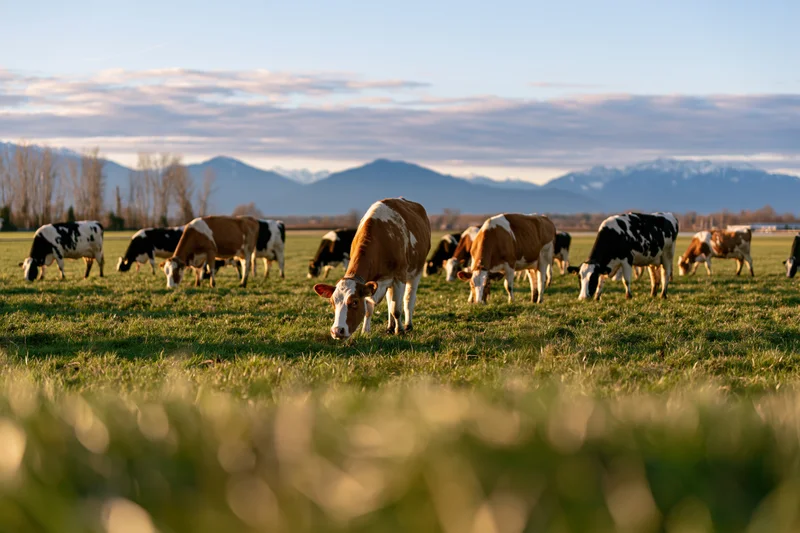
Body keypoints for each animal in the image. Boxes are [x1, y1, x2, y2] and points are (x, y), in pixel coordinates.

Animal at [313, 198, 430, 340]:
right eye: (332, 303)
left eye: (354, 302)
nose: (337, 331)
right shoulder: (371, 284)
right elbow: (370, 309)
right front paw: (365, 331)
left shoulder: (399, 277)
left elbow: (396, 309)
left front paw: (400, 330)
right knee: (390, 301)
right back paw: (390, 327)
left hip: (416, 271)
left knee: (408, 299)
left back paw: (408, 326)